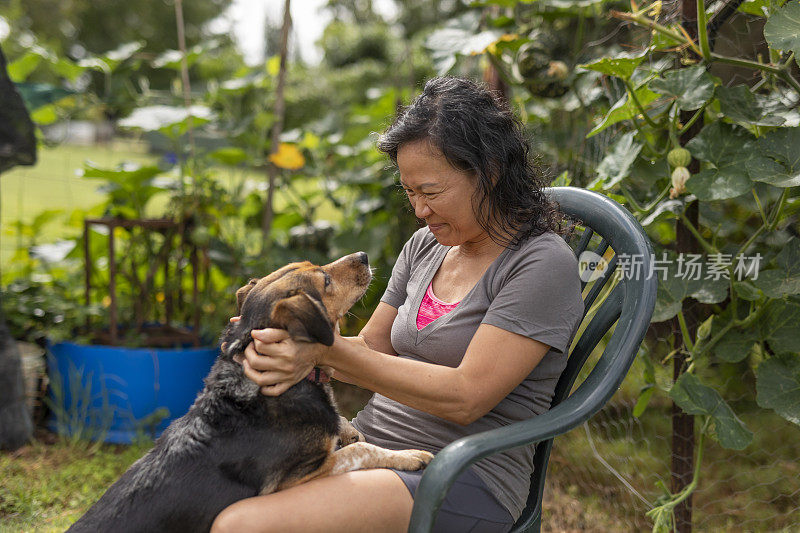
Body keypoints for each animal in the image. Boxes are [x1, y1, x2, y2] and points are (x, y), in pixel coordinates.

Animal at [66, 251, 434, 528]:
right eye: (326, 281)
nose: (363, 255)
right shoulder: (294, 479)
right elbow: (362, 450)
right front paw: (411, 455)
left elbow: (350, 435)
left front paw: (345, 428)